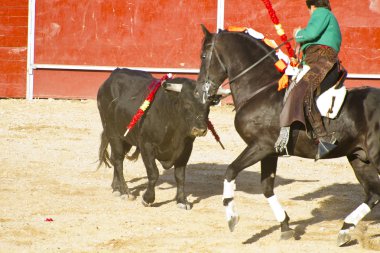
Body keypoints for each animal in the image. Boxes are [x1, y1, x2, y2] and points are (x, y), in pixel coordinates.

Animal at [96, 68, 209, 210]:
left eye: (209, 105)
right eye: (187, 104)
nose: (200, 130)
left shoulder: (186, 148)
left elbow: (180, 176)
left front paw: (182, 201)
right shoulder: (146, 145)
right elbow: (153, 172)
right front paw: (147, 199)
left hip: (125, 138)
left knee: (115, 158)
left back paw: (116, 188)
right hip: (113, 133)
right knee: (118, 160)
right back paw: (125, 192)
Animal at [196, 25, 380, 247]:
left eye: (203, 55)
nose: (198, 92)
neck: (261, 89)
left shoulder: (260, 146)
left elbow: (231, 170)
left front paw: (232, 217)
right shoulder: (269, 152)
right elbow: (267, 187)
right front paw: (285, 226)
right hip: (359, 158)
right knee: (373, 193)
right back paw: (345, 229)